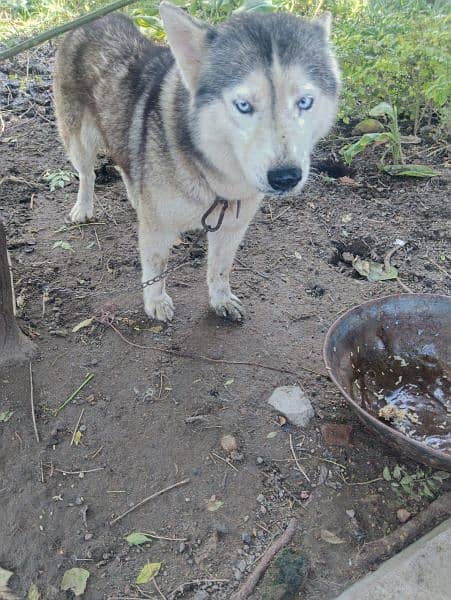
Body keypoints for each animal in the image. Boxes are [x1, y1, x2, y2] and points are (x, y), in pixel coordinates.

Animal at [53, 2, 340, 322]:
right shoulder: (157, 228)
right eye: (243, 105)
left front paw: (220, 298)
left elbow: (220, 268)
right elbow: (155, 265)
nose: (285, 177)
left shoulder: (233, 226)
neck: (215, 180)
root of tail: (95, 17)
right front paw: (155, 301)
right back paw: (83, 207)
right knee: (87, 174)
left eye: (305, 102)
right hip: (78, 139)